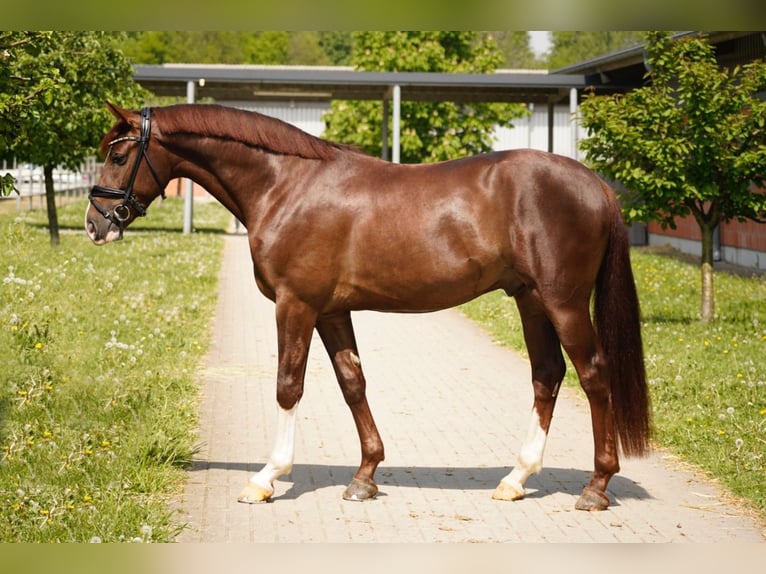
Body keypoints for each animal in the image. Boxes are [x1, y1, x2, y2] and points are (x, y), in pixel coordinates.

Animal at [87, 104, 652, 512]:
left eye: (117, 156)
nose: (96, 224)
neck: (285, 185)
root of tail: (596, 184)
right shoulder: (332, 312)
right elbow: (352, 382)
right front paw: (365, 477)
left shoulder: (296, 306)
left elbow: (288, 386)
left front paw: (266, 478)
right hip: (531, 301)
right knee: (547, 375)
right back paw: (515, 479)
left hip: (564, 303)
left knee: (593, 376)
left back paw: (597, 487)